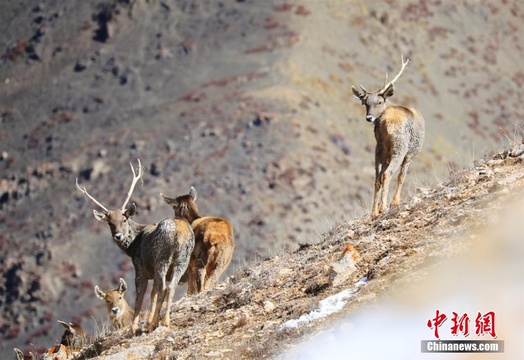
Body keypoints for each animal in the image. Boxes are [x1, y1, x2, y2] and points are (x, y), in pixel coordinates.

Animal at [75, 159, 194, 334]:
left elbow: (140, 296)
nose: (118, 236)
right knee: (170, 286)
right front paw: (147, 321)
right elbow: (152, 295)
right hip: (182, 260)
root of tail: (179, 233)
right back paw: (164, 321)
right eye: (109, 223)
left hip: (162, 258)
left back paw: (156, 323)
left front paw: (135, 327)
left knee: (163, 286)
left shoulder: (140, 268)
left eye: (124, 219)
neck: (133, 247)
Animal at [350, 54, 424, 218]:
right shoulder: (411, 153)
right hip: (400, 146)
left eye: (378, 101)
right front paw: (395, 202)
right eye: (365, 102)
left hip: (379, 149)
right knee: (387, 174)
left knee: (377, 177)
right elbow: (402, 176)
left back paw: (374, 212)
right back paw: (385, 207)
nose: (369, 118)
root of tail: (385, 122)